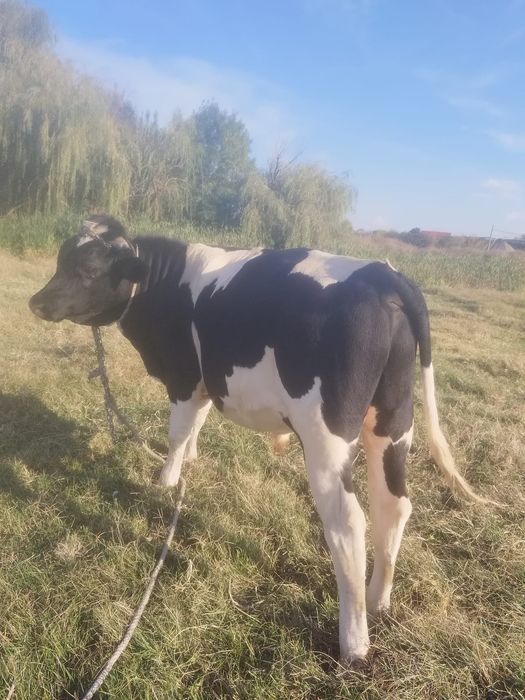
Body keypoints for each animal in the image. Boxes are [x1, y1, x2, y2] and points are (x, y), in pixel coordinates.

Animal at [29, 214, 488, 664]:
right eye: (62, 260)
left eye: (88, 269)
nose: (36, 301)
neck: (165, 284)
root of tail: (382, 274)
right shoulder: (207, 382)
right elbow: (197, 424)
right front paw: (191, 462)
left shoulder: (184, 377)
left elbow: (178, 432)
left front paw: (166, 482)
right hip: (392, 421)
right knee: (393, 505)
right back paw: (378, 599)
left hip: (326, 435)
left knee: (348, 522)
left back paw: (354, 643)